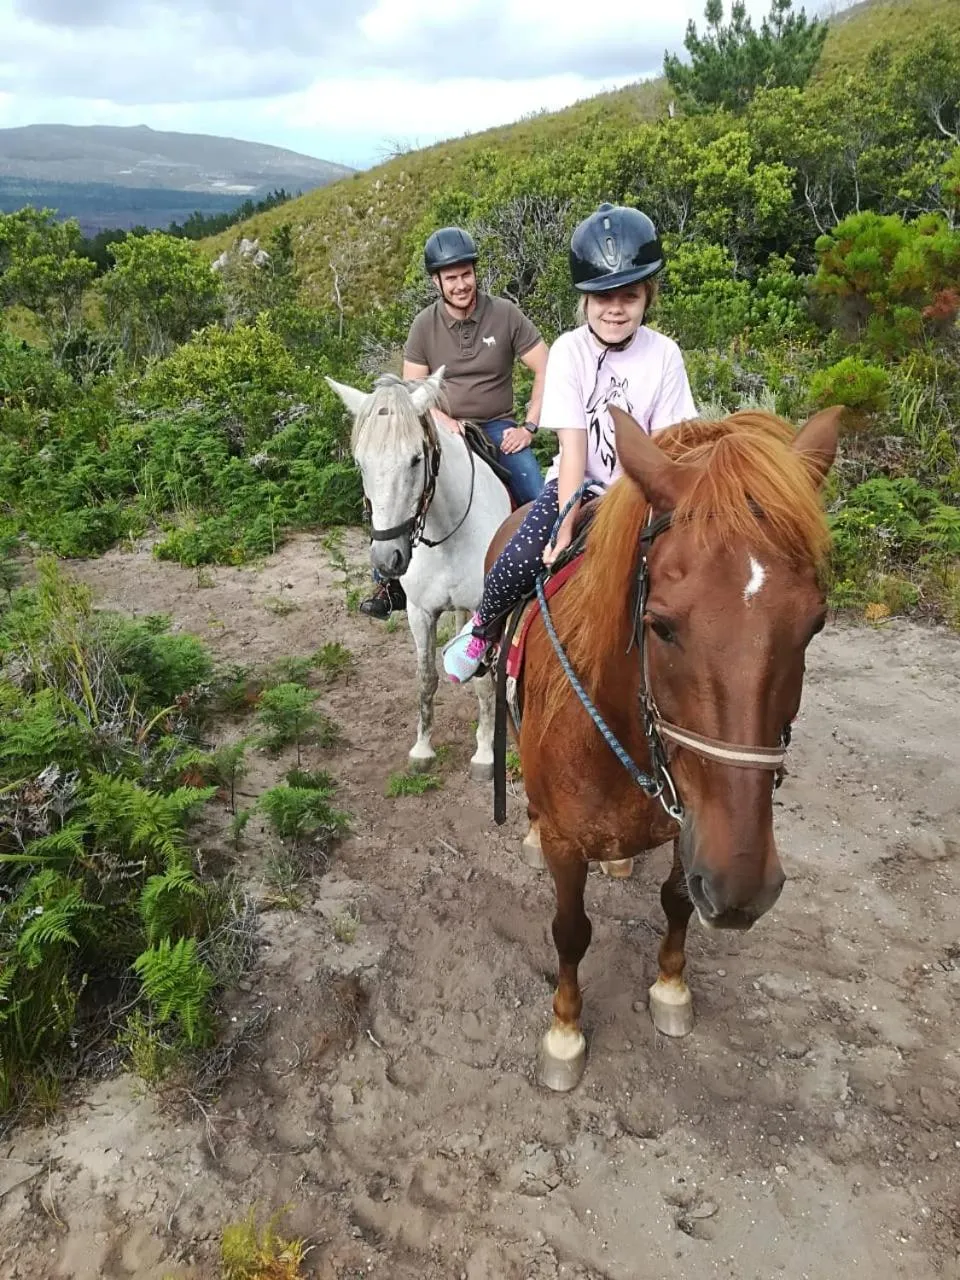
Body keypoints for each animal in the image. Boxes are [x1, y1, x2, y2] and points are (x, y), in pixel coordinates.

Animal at [325, 369, 512, 779]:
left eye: (415, 459)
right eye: (361, 463)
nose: (387, 558)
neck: (450, 532)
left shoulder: (485, 612)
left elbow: (484, 684)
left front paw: (484, 754)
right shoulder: (419, 612)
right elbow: (426, 679)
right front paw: (423, 749)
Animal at [505, 402, 841, 1091]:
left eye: (814, 624)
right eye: (659, 625)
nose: (743, 889)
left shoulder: (697, 828)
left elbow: (678, 900)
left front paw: (671, 987)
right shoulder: (566, 844)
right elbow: (570, 930)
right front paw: (564, 1033)